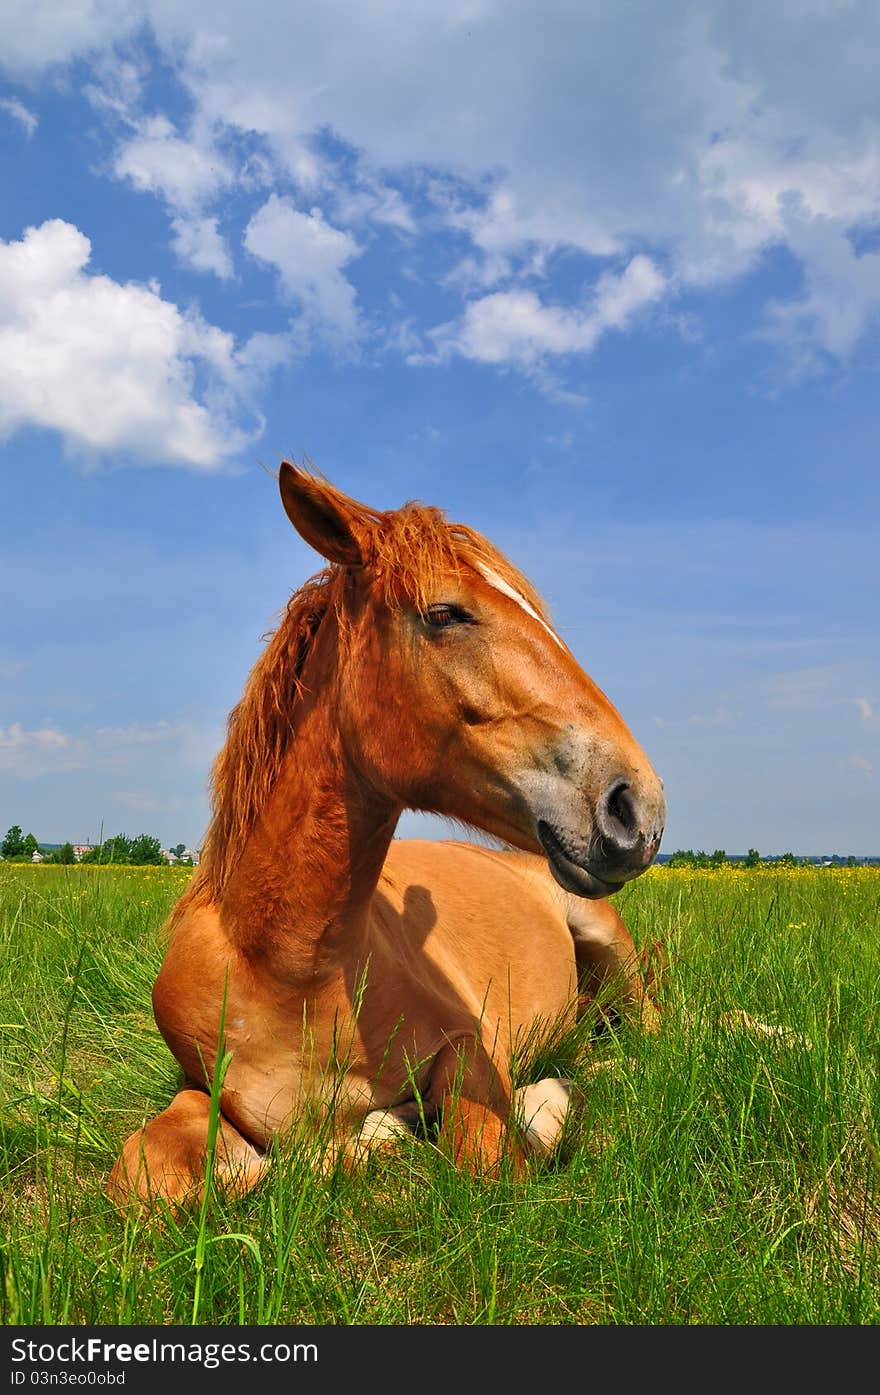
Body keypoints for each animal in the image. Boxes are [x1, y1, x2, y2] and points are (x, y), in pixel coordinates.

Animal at [111, 463, 666, 1205]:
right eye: (445, 613)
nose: (635, 804)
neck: (288, 971)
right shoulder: (199, 1087)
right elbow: (147, 1173)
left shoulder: (470, 1048)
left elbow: (485, 1156)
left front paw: (534, 1103)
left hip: (611, 945)